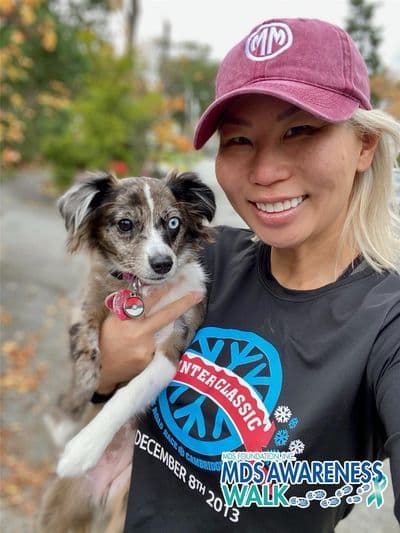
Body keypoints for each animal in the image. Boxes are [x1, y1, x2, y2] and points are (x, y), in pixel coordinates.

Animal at [39, 170, 216, 532]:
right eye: (125, 224)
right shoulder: (84, 307)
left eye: (173, 222)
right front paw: (66, 415)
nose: (163, 263)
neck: (140, 290)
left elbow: (128, 394)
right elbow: (86, 360)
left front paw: (83, 447)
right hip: (58, 514)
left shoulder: (173, 349)